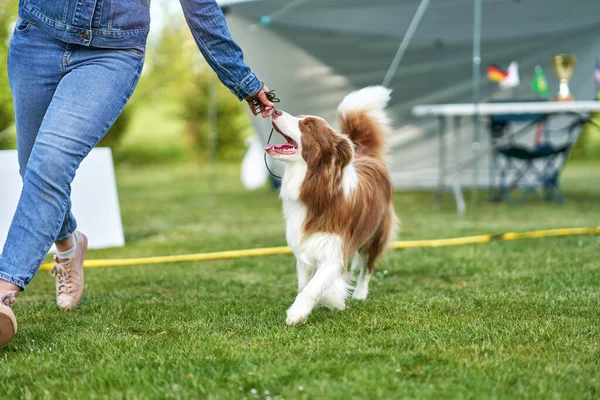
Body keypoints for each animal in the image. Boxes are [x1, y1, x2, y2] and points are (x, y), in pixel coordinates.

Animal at [266, 85, 398, 324]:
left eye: (307, 125)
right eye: (301, 119)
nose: (274, 110)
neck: (314, 187)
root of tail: (365, 153)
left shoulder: (334, 251)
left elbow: (315, 286)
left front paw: (298, 313)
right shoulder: (303, 247)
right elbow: (304, 284)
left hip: (377, 231)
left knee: (368, 265)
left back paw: (360, 293)